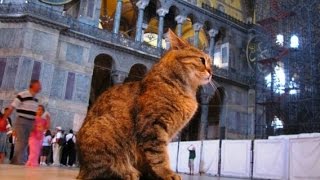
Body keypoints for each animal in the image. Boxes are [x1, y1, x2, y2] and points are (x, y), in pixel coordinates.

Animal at [77, 29, 212, 179]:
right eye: (202, 60)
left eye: (211, 63)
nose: (211, 72)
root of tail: (82, 168)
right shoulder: (153, 126)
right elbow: (159, 154)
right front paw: (166, 172)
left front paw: (153, 174)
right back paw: (128, 172)